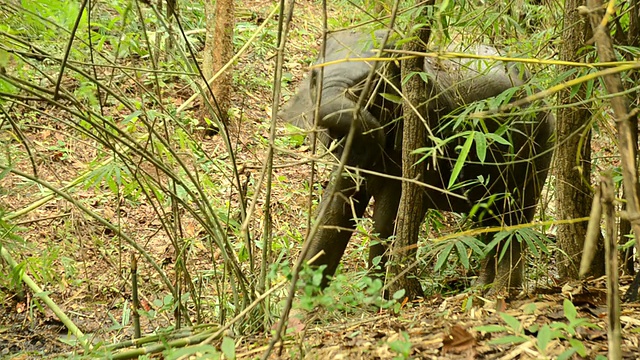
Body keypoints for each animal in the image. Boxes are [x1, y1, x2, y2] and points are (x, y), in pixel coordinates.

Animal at [280, 29, 556, 294]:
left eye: (369, 84)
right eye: (313, 79)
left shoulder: (424, 130)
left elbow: (388, 215)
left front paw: (378, 298)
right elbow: (336, 205)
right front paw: (303, 301)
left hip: (539, 146)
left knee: (515, 217)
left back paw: (499, 293)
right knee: (490, 220)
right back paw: (482, 289)